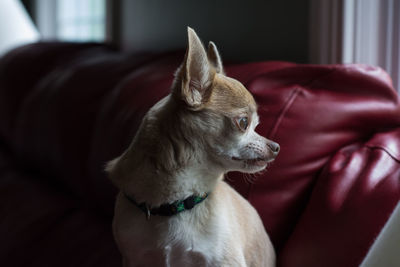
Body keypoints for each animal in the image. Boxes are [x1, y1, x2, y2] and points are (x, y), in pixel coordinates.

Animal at [106, 28, 278, 266]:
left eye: (257, 125)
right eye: (244, 123)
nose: (276, 146)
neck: (177, 203)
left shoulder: (225, 261)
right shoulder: (134, 258)